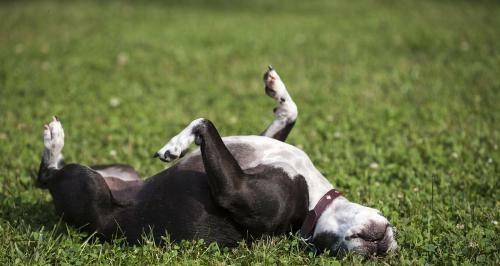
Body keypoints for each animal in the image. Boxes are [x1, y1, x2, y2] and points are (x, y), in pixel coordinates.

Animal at [35, 67, 396, 258]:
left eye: (330, 250)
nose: (379, 246)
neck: (313, 204)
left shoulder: (235, 190)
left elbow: (205, 123)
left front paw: (176, 145)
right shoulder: (265, 143)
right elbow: (289, 113)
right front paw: (277, 89)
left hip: (87, 187)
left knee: (45, 177)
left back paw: (54, 143)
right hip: (124, 170)